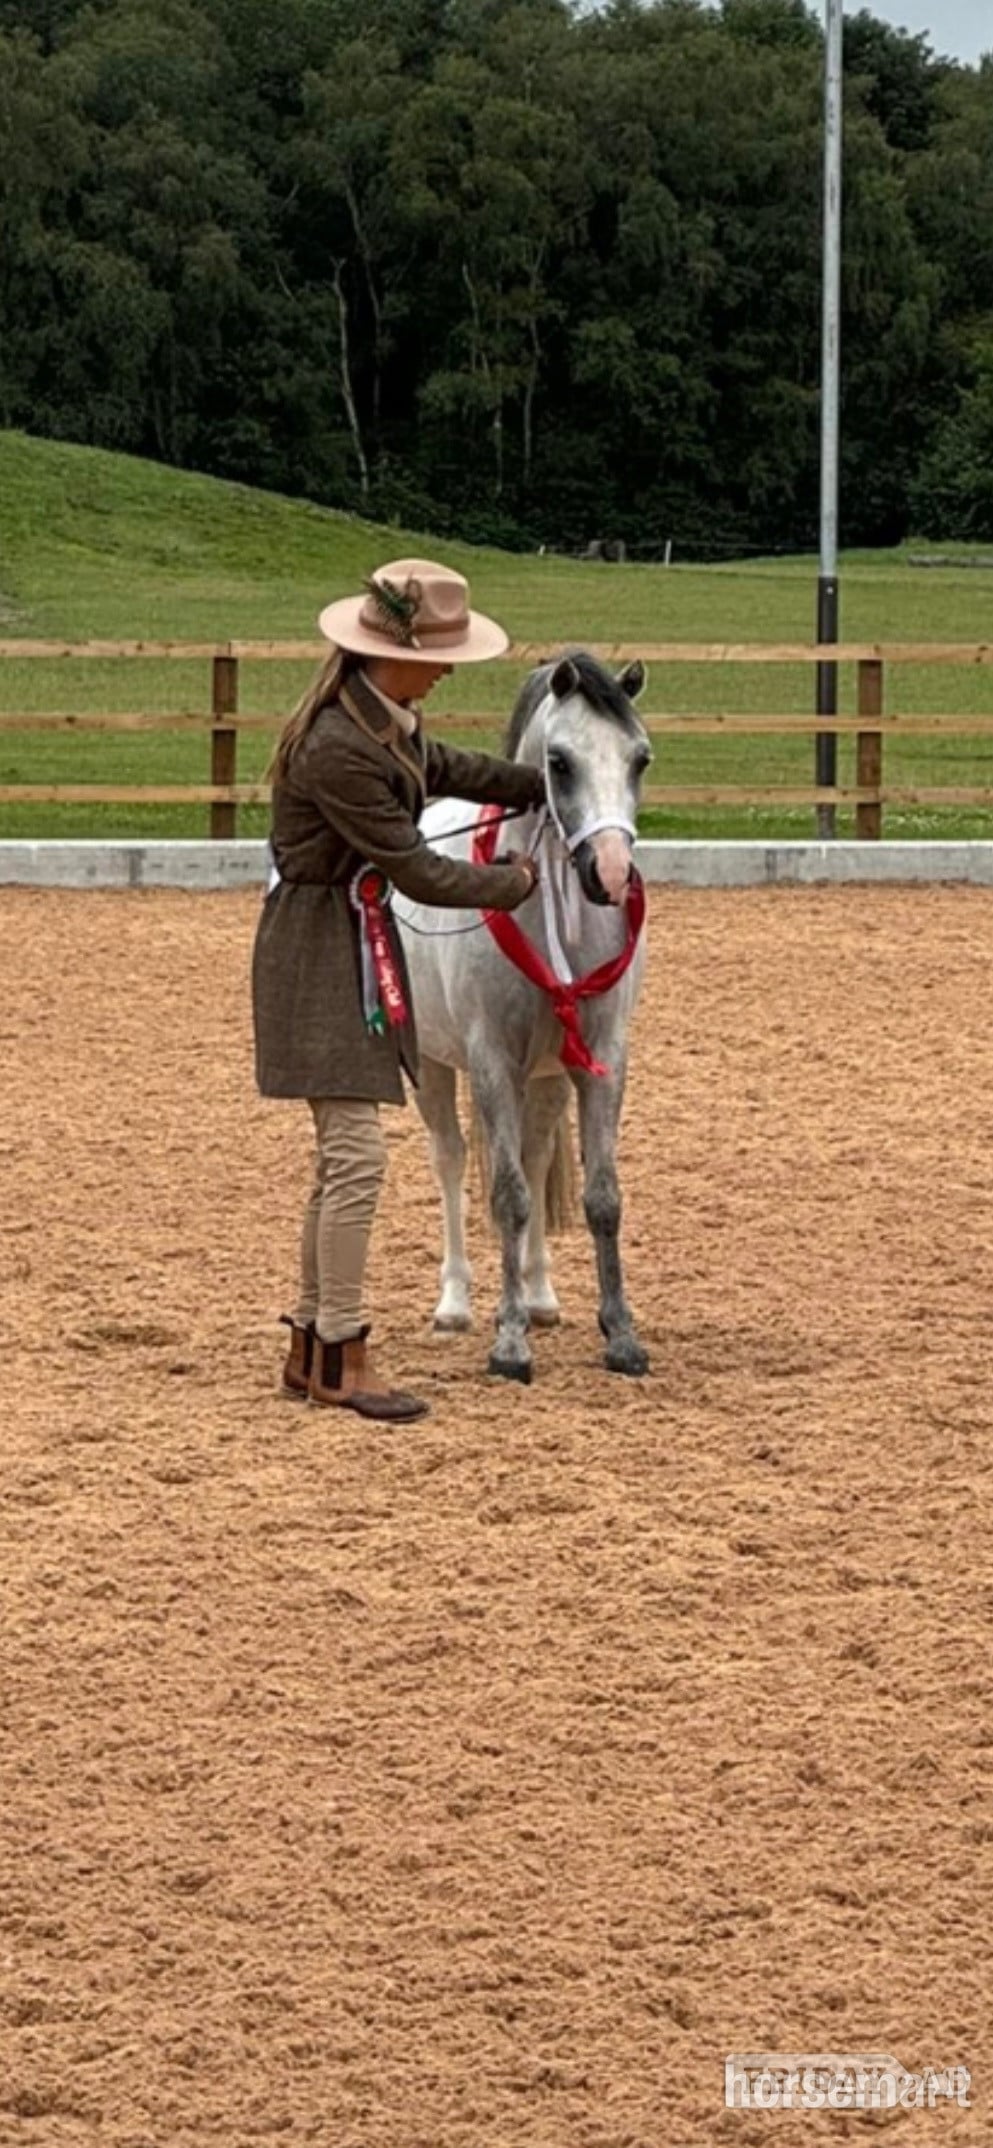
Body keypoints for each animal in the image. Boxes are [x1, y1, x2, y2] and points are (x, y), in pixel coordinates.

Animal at [394, 650, 652, 1383]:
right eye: (559, 761)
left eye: (640, 758)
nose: (610, 875)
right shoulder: (491, 1064)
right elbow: (506, 1194)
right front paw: (508, 1342)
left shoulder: (599, 1058)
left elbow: (599, 1196)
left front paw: (620, 1334)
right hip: (430, 1064)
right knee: (451, 1159)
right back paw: (456, 1304)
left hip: (547, 1076)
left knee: (538, 1159)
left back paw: (539, 1296)